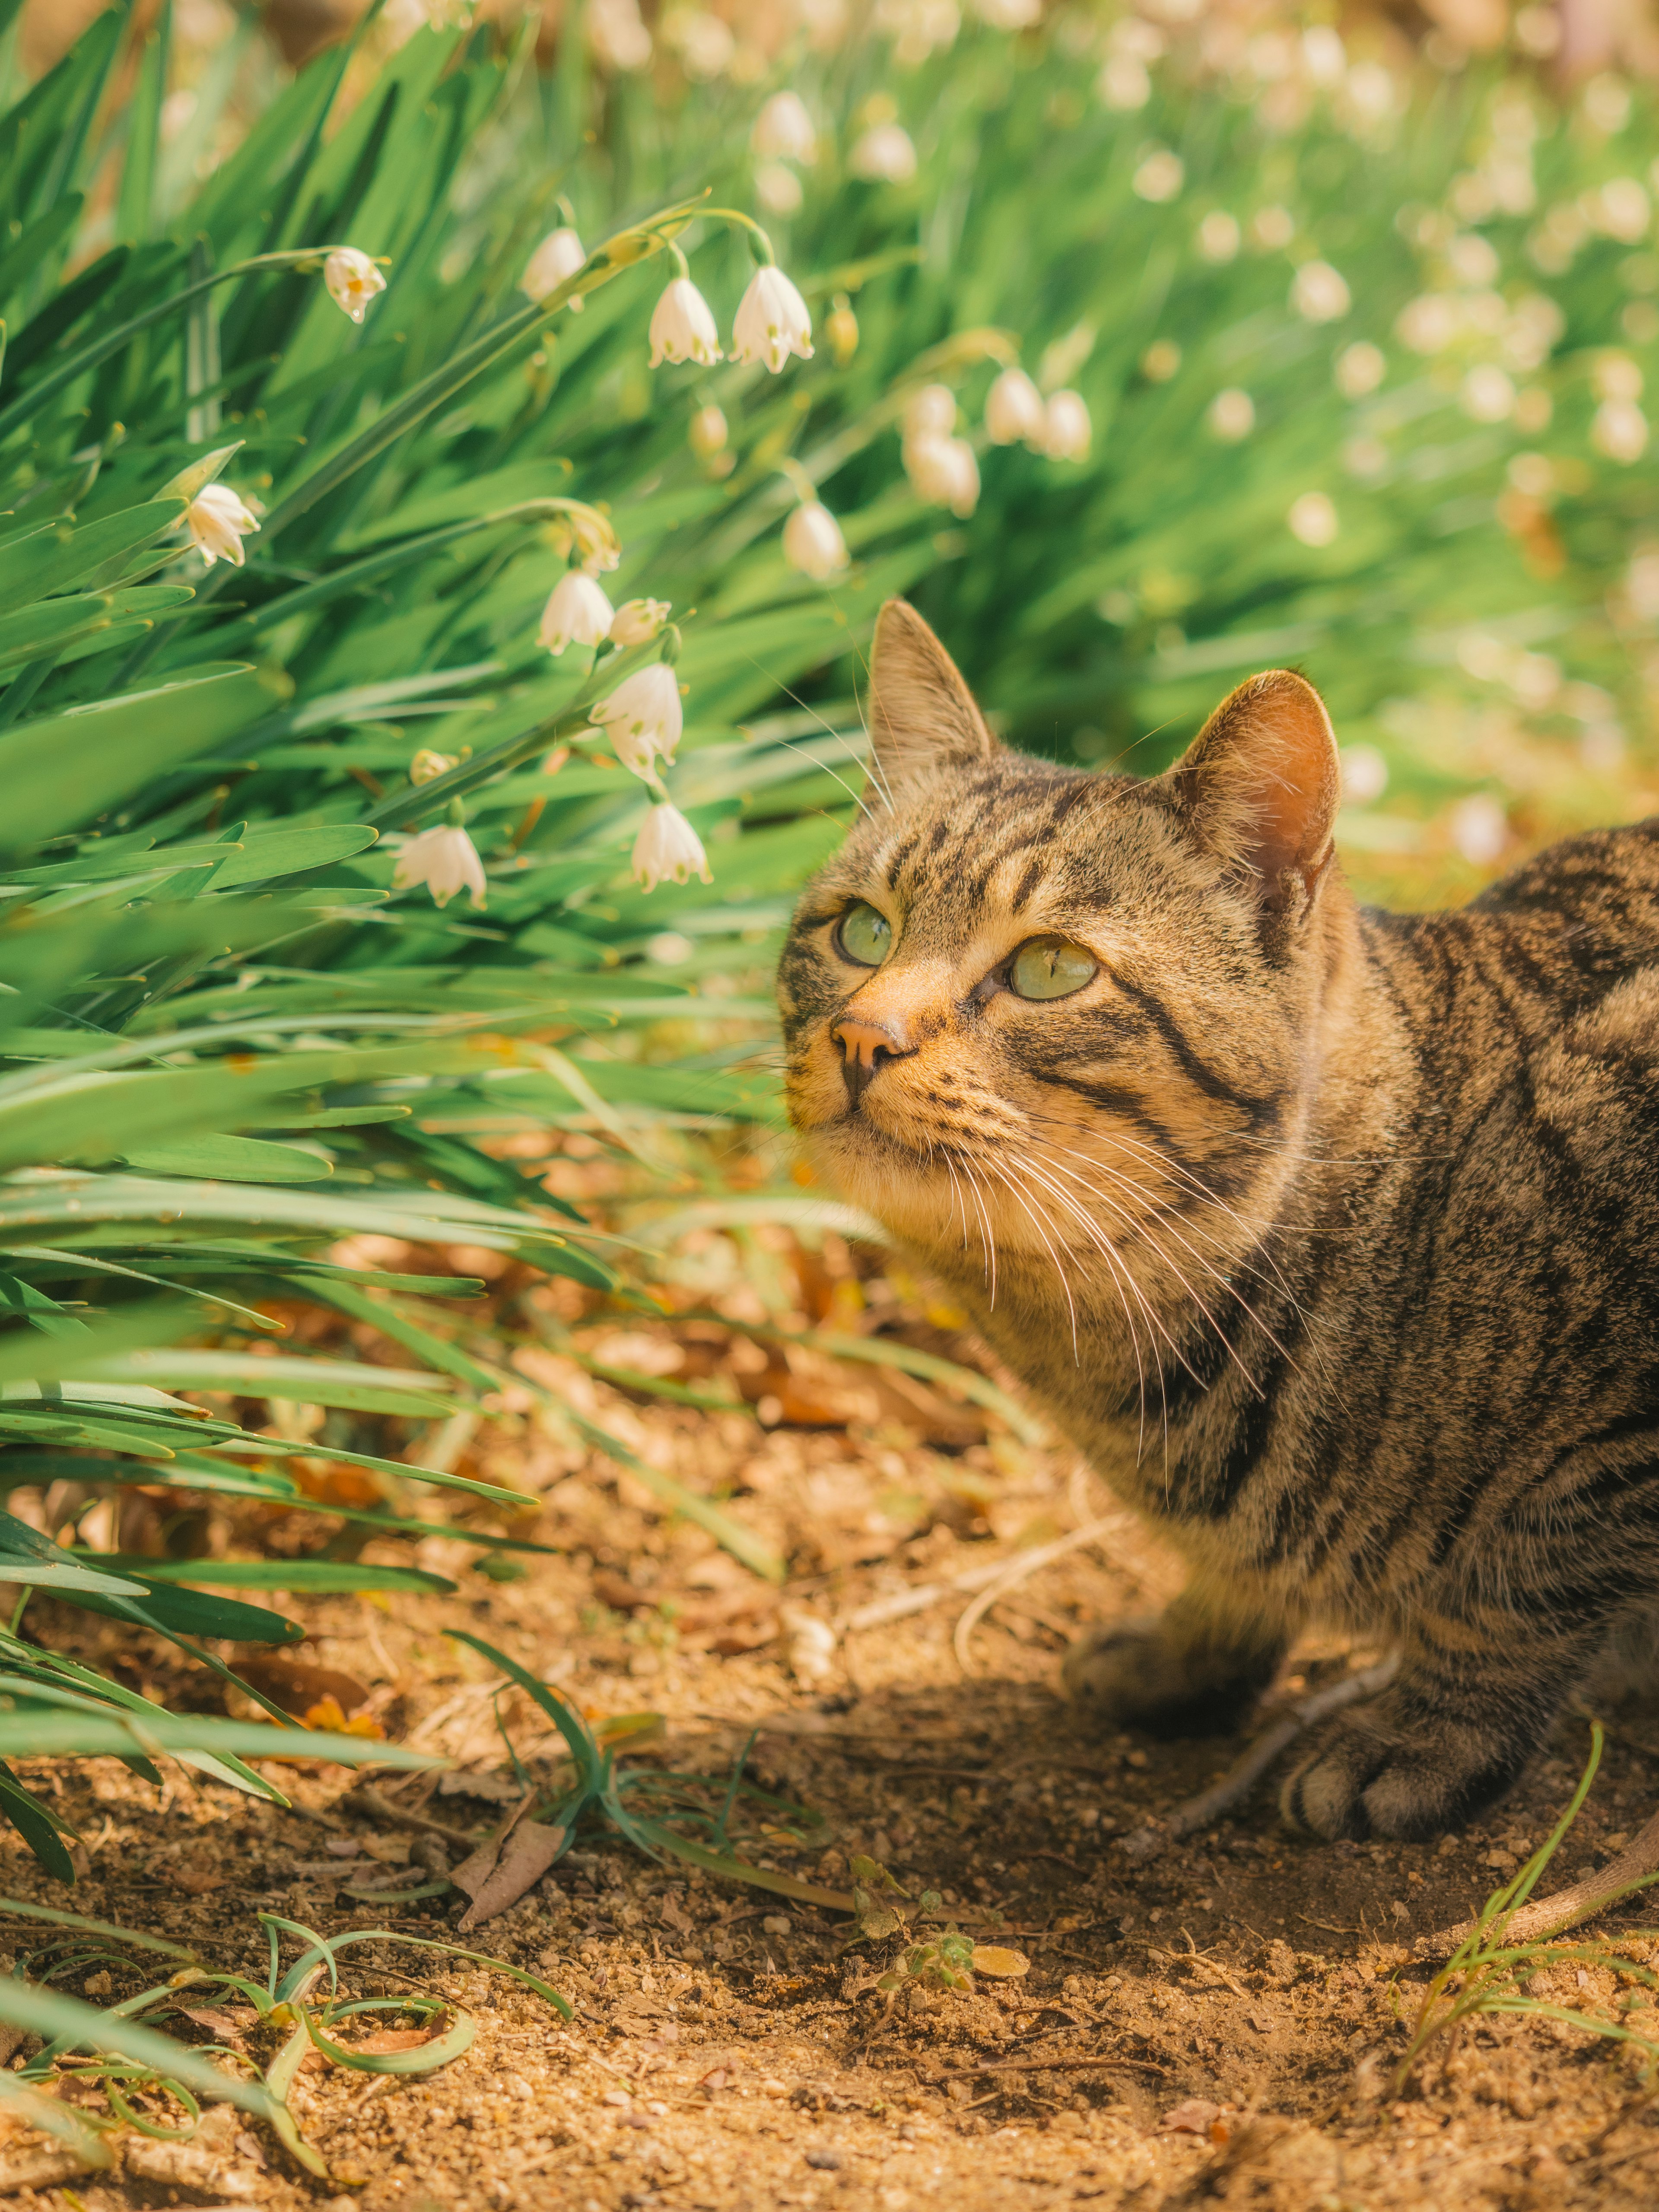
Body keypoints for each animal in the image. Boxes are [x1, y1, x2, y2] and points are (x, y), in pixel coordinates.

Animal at [779, 597, 1659, 1840]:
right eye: (860, 932)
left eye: (1051, 967)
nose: (863, 1034)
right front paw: (1193, 1649)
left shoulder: (1614, 1425)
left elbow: (1521, 1582)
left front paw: (1422, 1734)